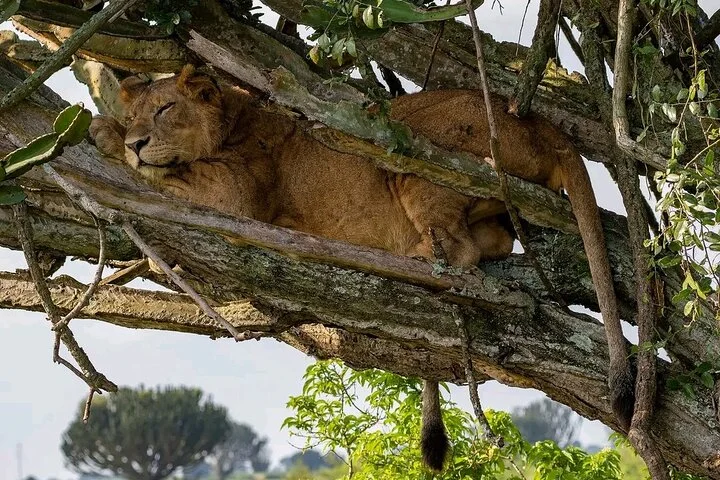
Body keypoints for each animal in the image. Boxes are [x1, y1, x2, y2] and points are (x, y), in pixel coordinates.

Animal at [90, 65, 632, 472]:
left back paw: (399, 260)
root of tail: (545, 125)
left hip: (420, 152)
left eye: (166, 109)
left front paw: (106, 136)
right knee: (491, 242)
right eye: (137, 112)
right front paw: (116, 137)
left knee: (458, 253)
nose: (138, 140)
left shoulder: (235, 198)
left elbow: (170, 174)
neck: (233, 120)